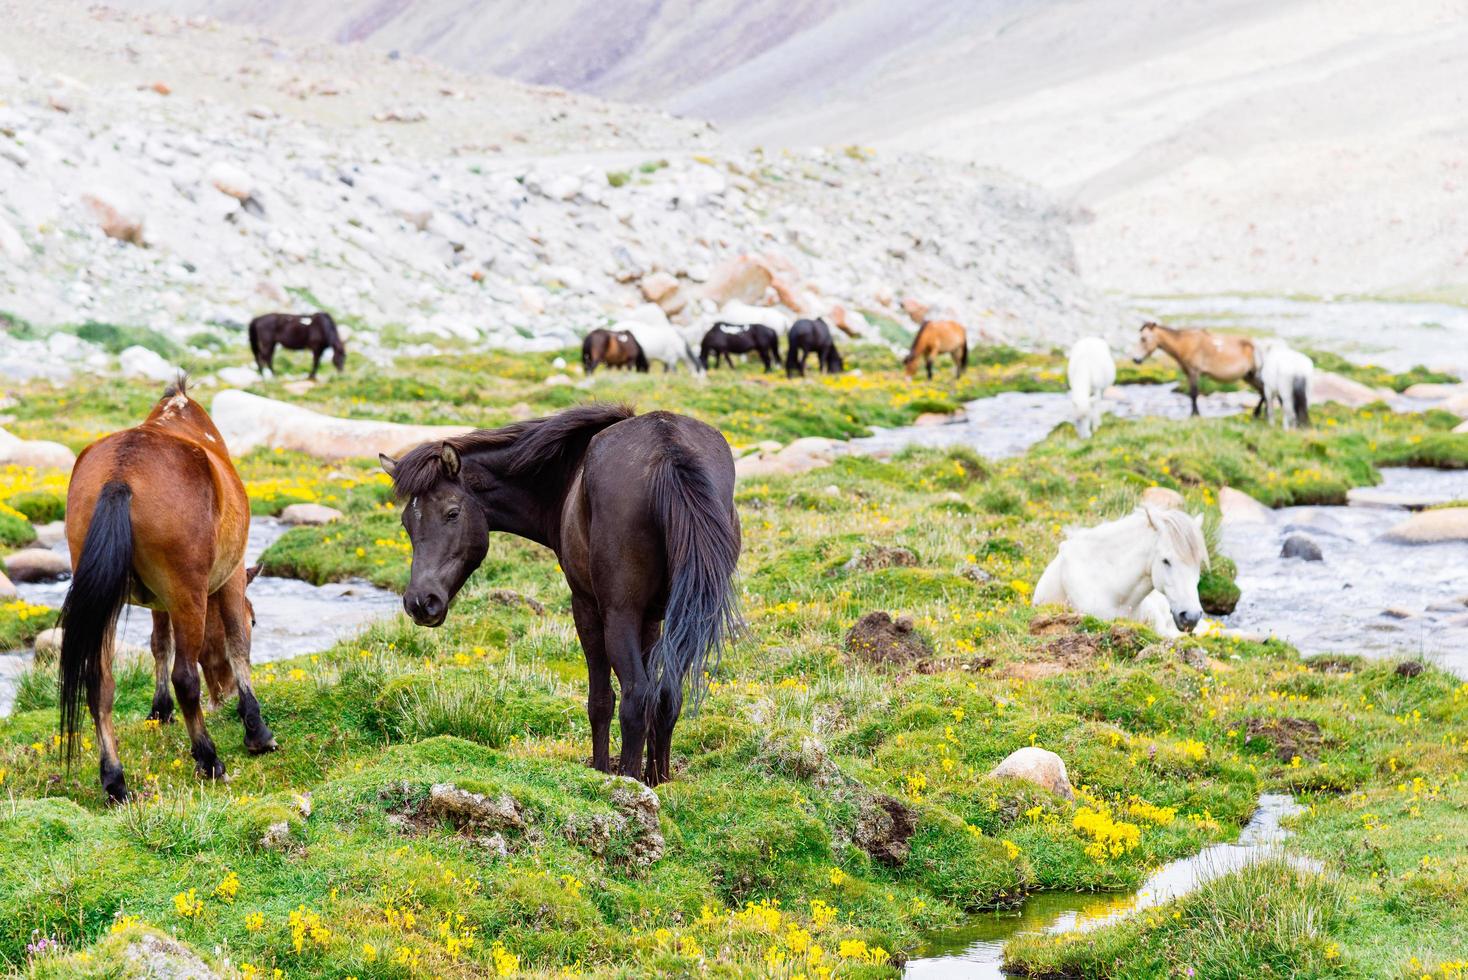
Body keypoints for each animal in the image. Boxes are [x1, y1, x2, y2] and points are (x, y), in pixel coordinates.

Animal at [59, 378, 275, 798]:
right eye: (256, 619)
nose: (224, 695)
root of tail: (121, 475)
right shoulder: (230, 577)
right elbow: (237, 644)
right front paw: (256, 730)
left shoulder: (160, 602)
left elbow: (160, 643)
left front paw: (159, 711)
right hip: (188, 596)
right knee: (185, 678)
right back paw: (209, 759)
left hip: (104, 606)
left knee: (100, 683)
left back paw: (114, 778)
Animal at [381, 401, 739, 786]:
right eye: (406, 522)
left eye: (452, 512)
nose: (420, 602)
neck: (568, 477)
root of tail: (668, 449)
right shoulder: (652, 618)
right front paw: (653, 777)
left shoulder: (586, 606)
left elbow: (601, 701)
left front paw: (601, 772)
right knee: (668, 693)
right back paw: (658, 779)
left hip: (619, 615)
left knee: (636, 696)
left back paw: (626, 780)